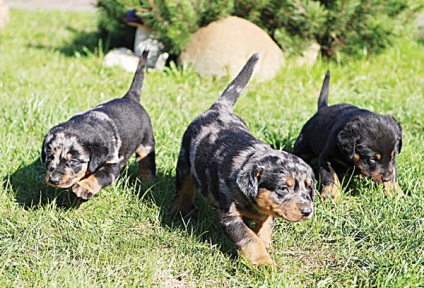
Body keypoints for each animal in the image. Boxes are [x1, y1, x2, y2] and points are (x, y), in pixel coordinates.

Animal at [40, 49, 154, 202]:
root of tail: (130, 97)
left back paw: (147, 182)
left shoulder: (112, 164)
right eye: (50, 157)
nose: (53, 180)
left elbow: (99, 176)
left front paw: (84, 188)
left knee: (147, 163)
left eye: (74, 161)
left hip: (147, 143)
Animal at [171, 52, 314, 268]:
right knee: (185, 189)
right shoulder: (230, 216)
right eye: (283, 188)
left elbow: (264, 230)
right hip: (185, 162)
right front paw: (264, 264)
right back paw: (181, 211)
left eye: (308, 187)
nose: (307, 211)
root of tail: (218, 108)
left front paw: (266, 246)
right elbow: (249, 238)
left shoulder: (268, 211)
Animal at [294, 71, 402, 199]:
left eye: (393, 156)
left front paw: (395, 192)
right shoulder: (326, 157)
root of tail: (323, 108)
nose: (386, 178)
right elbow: (331, 176)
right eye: (371, 159)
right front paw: (331, 194)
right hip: (303, 145)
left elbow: (393, 172)